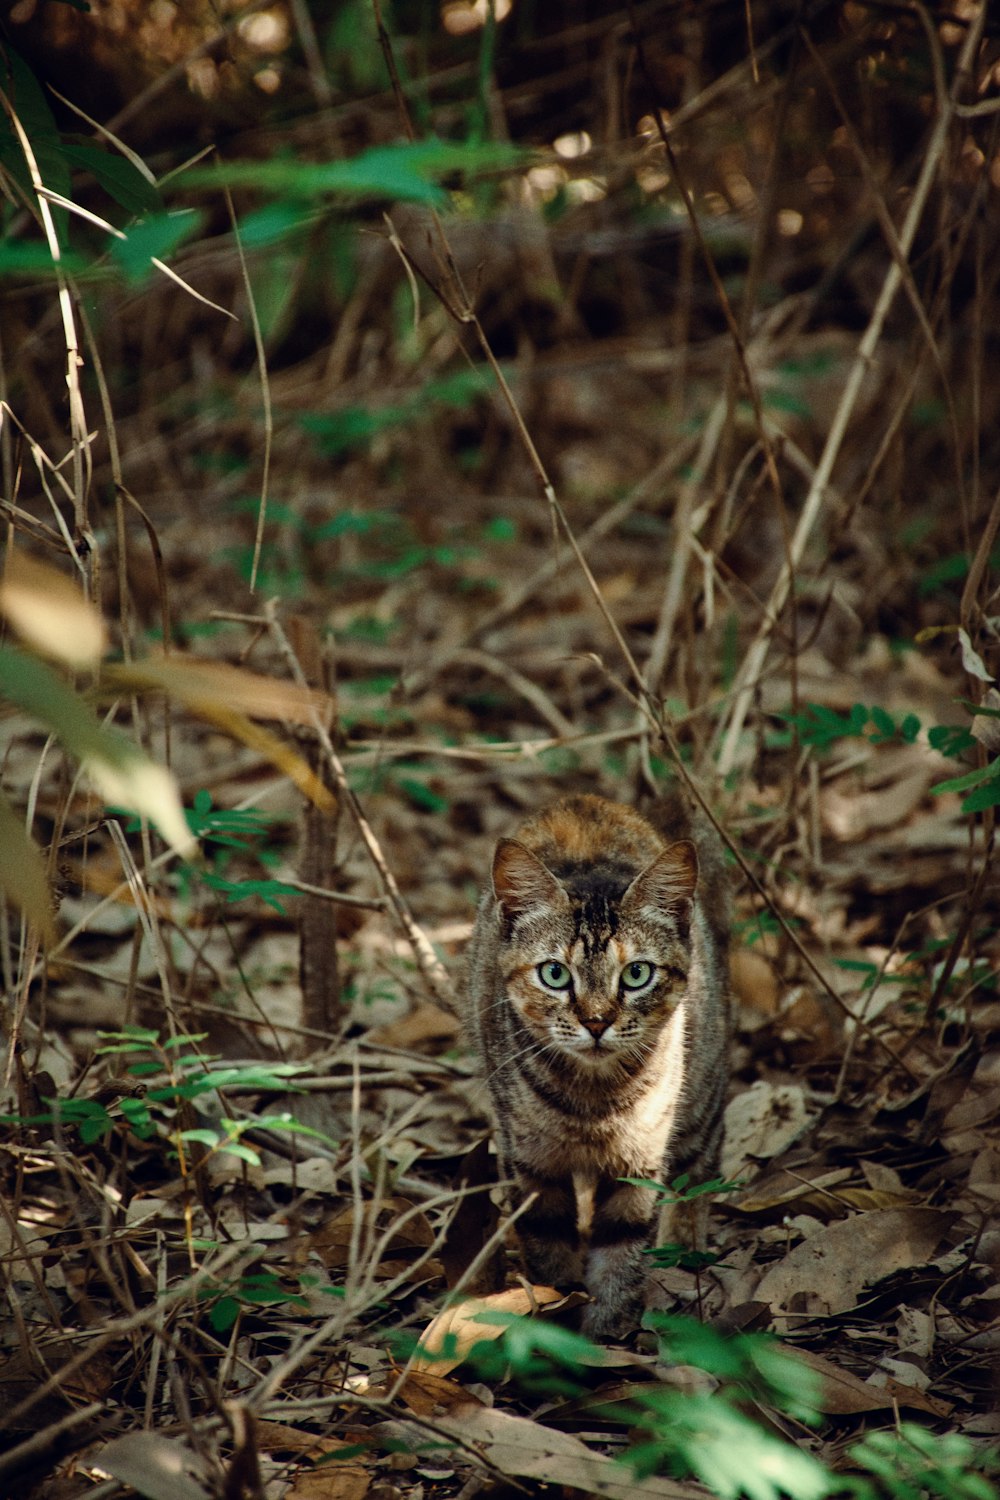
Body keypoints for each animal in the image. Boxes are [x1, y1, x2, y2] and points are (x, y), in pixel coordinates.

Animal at [464, 792, 731, 1344]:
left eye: (636, 974)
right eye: (554, 973)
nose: (596, 1021)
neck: (593, 1099)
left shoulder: (640, 1162)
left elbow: (621, 1250)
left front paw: (608, 1332)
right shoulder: (532, 1163)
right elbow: (548, 1248)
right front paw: (559, 1326)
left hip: (701, 1091)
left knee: (701, 1167)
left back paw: (685, 1248)